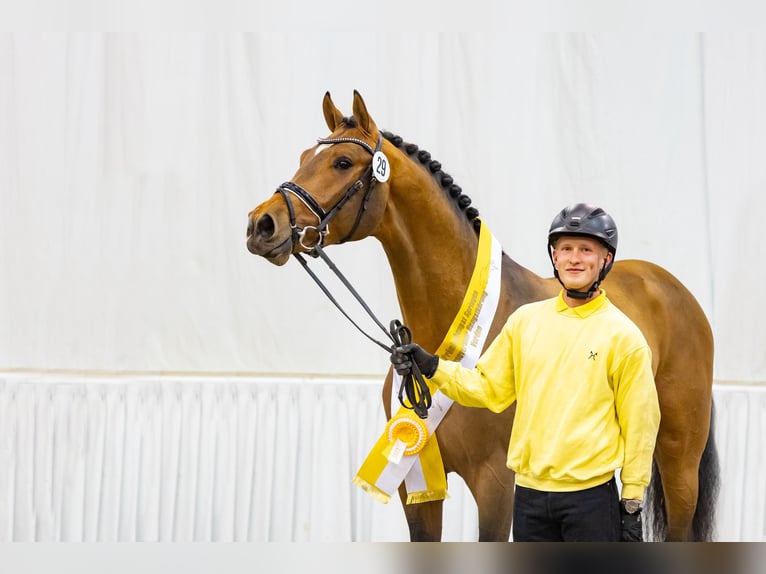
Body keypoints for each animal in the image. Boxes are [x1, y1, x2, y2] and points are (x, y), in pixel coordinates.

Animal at [246, 91, 720, 544]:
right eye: (304, 156)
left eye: (342, 162)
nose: (261, 224)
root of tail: (673, 290)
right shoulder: (415, 483)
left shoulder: (495, 485)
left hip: (679, 462)